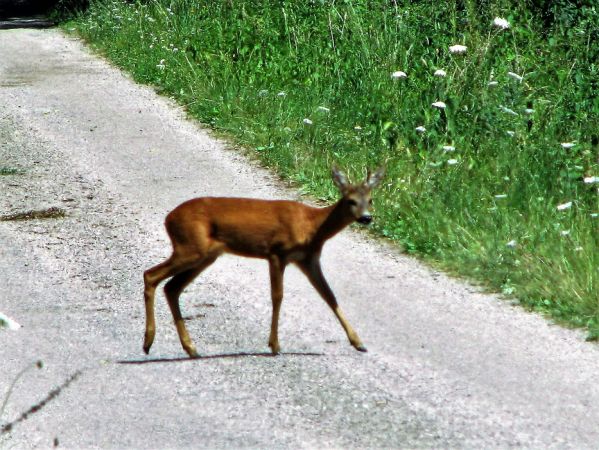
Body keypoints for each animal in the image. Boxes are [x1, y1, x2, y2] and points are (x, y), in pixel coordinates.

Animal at [143, 166, 384, 358]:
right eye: (351, 201)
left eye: (371, 200)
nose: (366, 218)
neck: (312, 226)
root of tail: (168, 219)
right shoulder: (277, 252)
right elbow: (277, 297)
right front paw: (275, 345)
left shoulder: (308, 260)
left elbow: (329, 295)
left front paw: (358, 343)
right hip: (190, 247)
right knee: (151, 275)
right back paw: (148, 342)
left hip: (204, 255)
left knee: (172, 287)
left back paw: (190, 348)